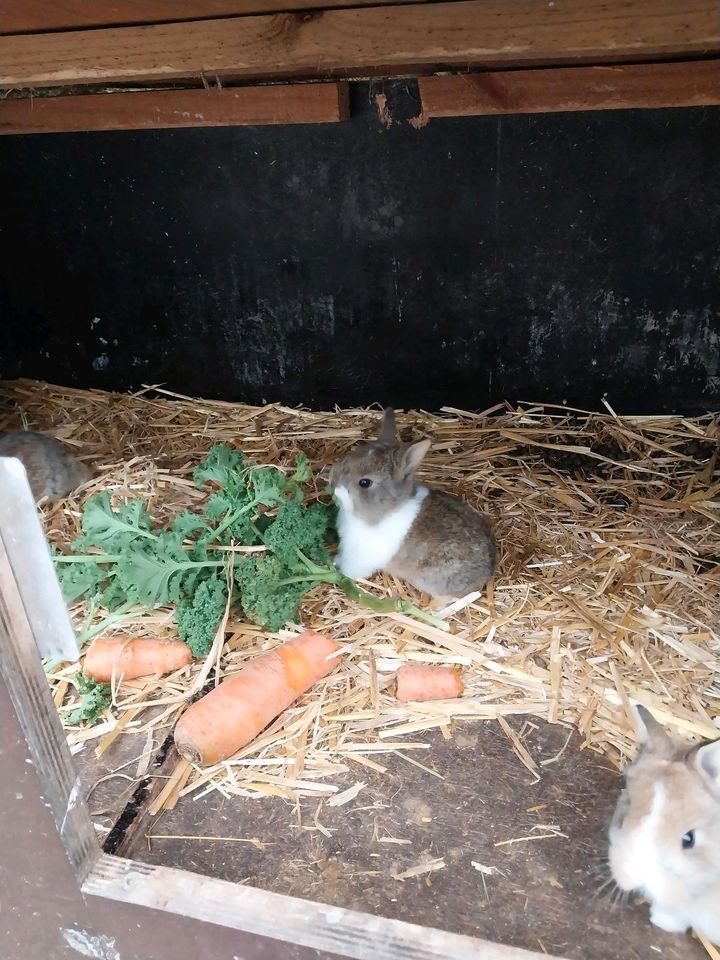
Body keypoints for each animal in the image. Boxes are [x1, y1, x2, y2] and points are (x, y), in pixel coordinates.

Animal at [330, 406, 498, 600]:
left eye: (365, 482)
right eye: (349, 458)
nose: (333, 486)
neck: (386, 510)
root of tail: (487, 574)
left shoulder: (360, 556)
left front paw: (340, 575)